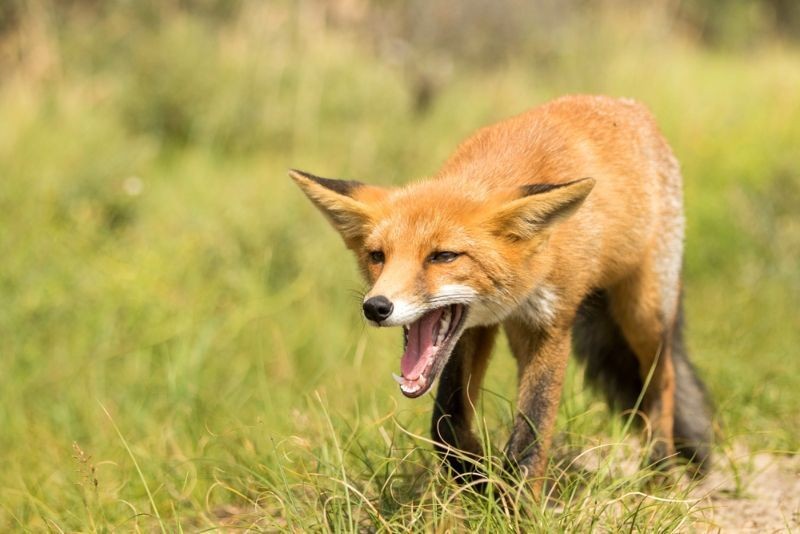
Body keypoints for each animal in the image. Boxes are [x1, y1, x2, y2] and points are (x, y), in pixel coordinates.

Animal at [290, 94, 713, 489]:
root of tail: (632, 107)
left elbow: (534, 424)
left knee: (663, 380)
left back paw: (660, 469)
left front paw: (517, 502)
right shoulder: (474, 328)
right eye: (378, 256)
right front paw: (477, 476)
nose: (376, 307)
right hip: (521, 333)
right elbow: (447, 420)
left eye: (443, 256)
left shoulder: (552, 324)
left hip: (643, 312)